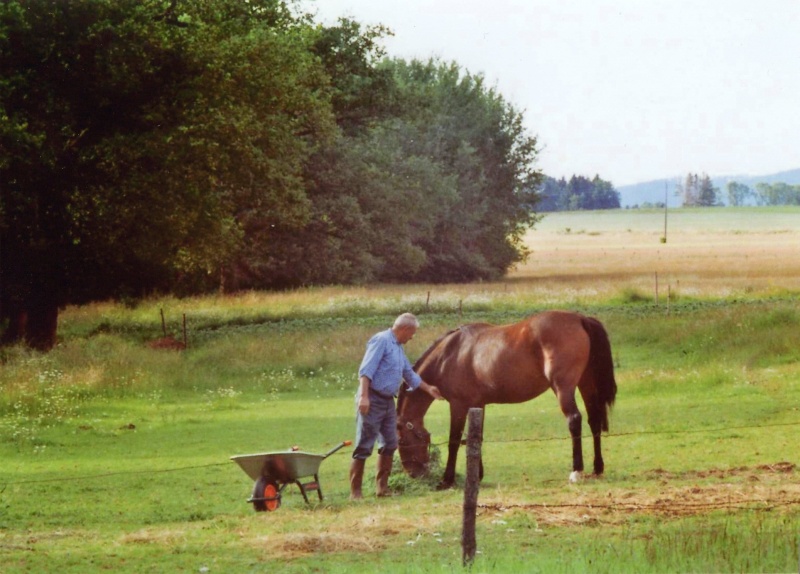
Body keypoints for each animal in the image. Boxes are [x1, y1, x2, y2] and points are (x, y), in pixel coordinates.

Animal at [396, 312, 616, 488]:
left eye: (401, 440)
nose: (414, 474)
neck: (449, 354)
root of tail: (579, 318)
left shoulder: (458, 405)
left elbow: (454, 441)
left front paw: (447, 480)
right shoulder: (478, 405)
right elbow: (475, 438)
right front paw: (477, 475)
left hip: (563, 387)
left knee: (574, 420)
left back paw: (576, 471)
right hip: (586, 384)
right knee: (594, 420)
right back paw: (597, 468)